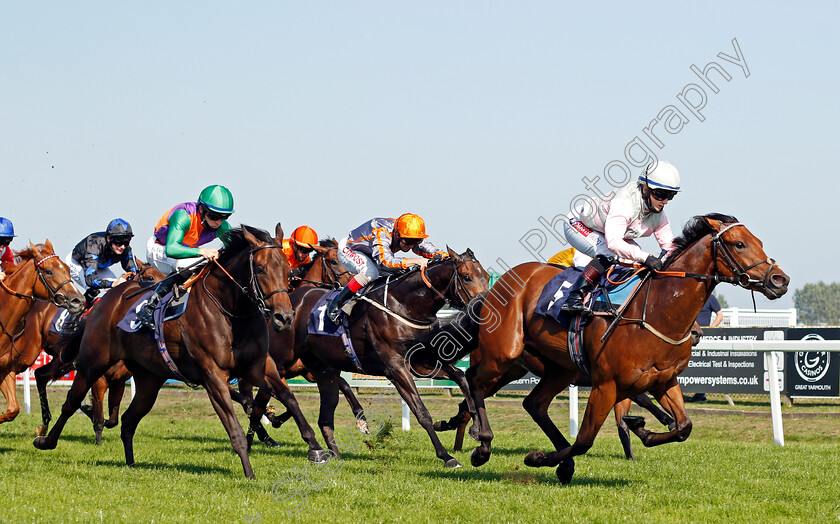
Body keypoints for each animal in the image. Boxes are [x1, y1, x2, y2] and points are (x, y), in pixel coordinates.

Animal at [32, 223, 296, 476]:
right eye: (260, 269)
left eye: (287, 269)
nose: (285, 317)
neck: (230, 310)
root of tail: (101, 304)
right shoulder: (212, 375)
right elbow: (236, 422)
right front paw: (250, 471)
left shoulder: (257, 366)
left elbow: (281, 396)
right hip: (92, 363)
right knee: (70, 401)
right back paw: (45, 439)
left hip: (149, 378)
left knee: (127, 419)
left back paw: (130, 463)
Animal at [276, 249, 488, 466]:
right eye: (467, 277)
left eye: (487, 277)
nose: (483, 304)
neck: (403, 305)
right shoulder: (396, 369)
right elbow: (421, 412)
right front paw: (446, 456)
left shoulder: (419, 363)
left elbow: (461, 378)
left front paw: (475, 428)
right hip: (282, 358)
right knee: (277, 389)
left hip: (324, 370)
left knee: (325, 415)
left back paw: (332, 453)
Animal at [462, 214, 792, 484]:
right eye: (739, 244)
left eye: (759, 242)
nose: (780, 280)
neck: (657, 311)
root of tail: (498, 283)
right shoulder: (606, 385)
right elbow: (584, 440)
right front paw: (538, 458)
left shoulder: (663, 380)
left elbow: (683, 426)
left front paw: (642, 429)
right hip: (502, 355)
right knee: (472, 382)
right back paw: (482, 445)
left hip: (556, 368)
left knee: (534, 403)